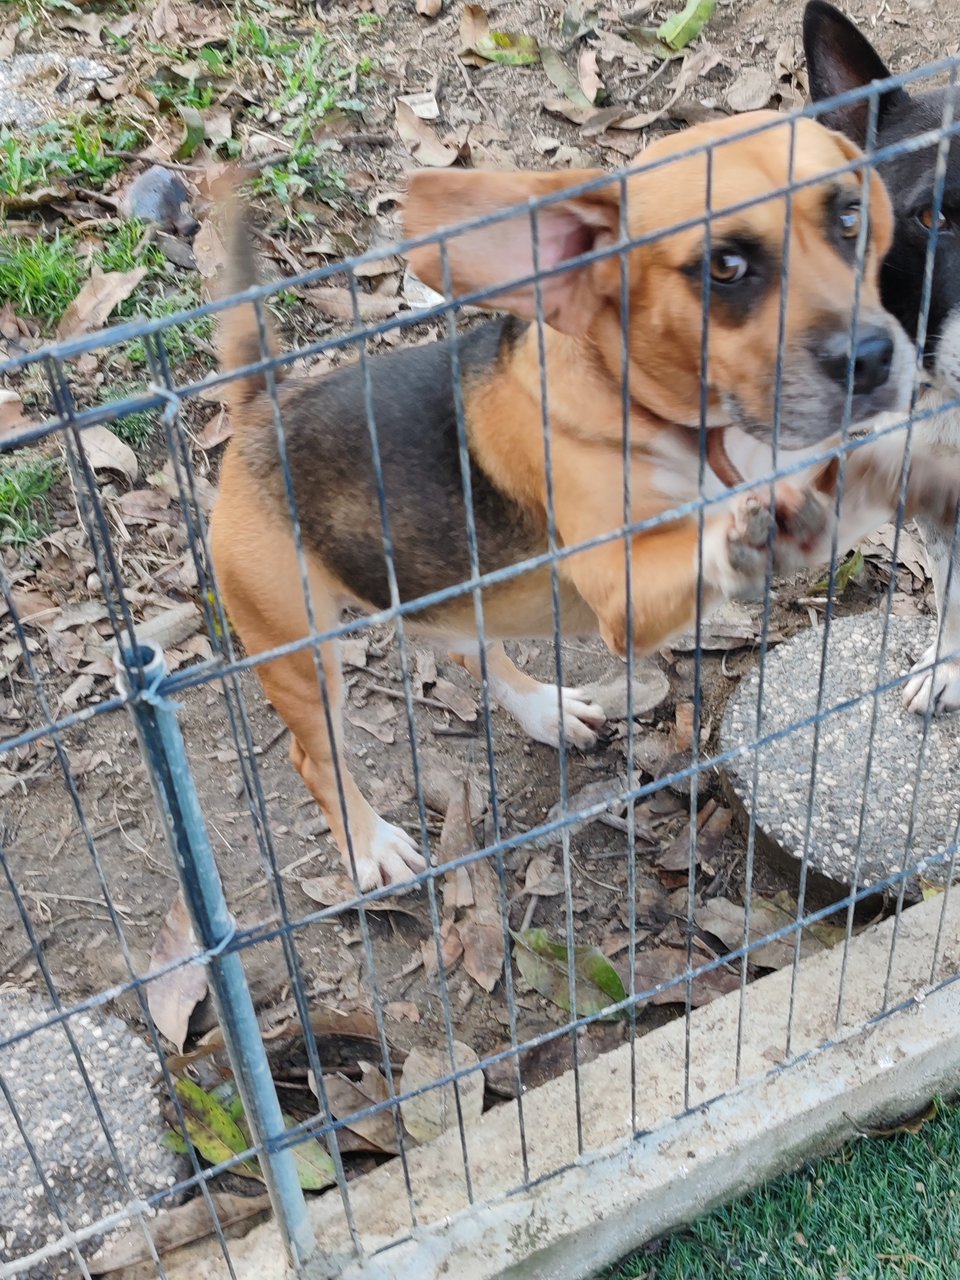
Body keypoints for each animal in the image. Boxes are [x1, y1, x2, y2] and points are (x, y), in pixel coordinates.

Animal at [208, 110, 960, 890]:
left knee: (471, 653)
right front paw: (768, 528)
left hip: (446, 593)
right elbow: (726, 529)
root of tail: (260, 411)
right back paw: (371, 845)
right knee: (315, 758)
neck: (684, 425)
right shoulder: (626, 593)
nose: (873, 356)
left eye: (849, 218)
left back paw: (544, 710)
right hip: (301, 658)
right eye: (724, 267)